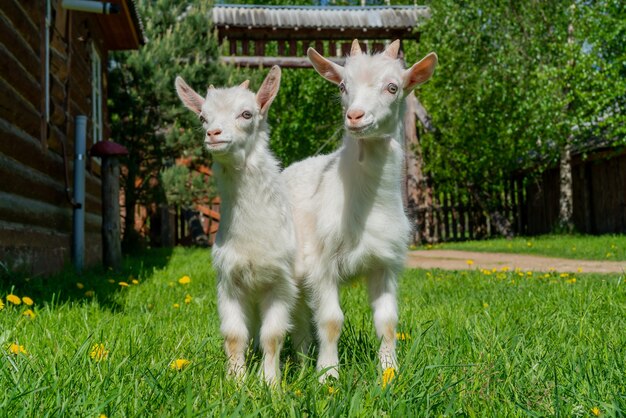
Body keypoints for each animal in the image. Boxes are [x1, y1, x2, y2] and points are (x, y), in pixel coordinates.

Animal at [173, 65, 294, 386]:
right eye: (203, 118)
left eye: (247, 114)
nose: (213, 134)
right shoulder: (228, 281)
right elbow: (234, 336)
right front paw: (236, 382)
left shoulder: (280, 282)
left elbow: (273, 336)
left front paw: (271, 384)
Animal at [282, 40, 434, 380]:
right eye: (342, 86)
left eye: (393, 87)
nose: (355, 116)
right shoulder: (321, 263)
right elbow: (330, 320)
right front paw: (327, 375)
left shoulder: (384, 263)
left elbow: (388, 321)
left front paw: (389, 371)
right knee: (299, 316)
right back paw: (302, 364)